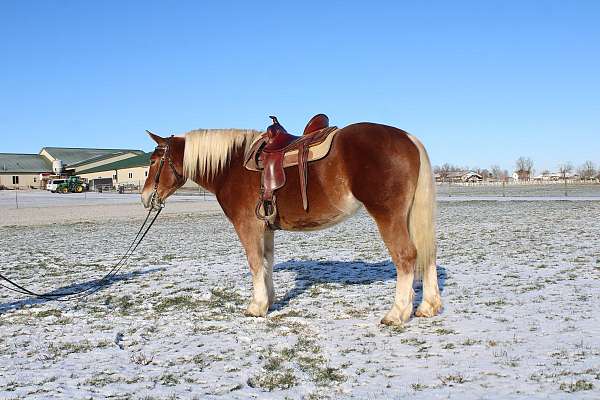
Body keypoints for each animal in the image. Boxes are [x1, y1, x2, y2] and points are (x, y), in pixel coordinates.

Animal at [141, 119, 440, 324]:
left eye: (154, 161)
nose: (145, 198)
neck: (231, 166)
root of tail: (408, 138)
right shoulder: (265, 228)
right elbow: (266, 262)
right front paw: (269, 300)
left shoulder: (247, 226)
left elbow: (254, 262)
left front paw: (256, 306)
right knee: (427, 254)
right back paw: (428, 306)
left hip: (388, 215)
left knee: (406, 256)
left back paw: (397, 313)